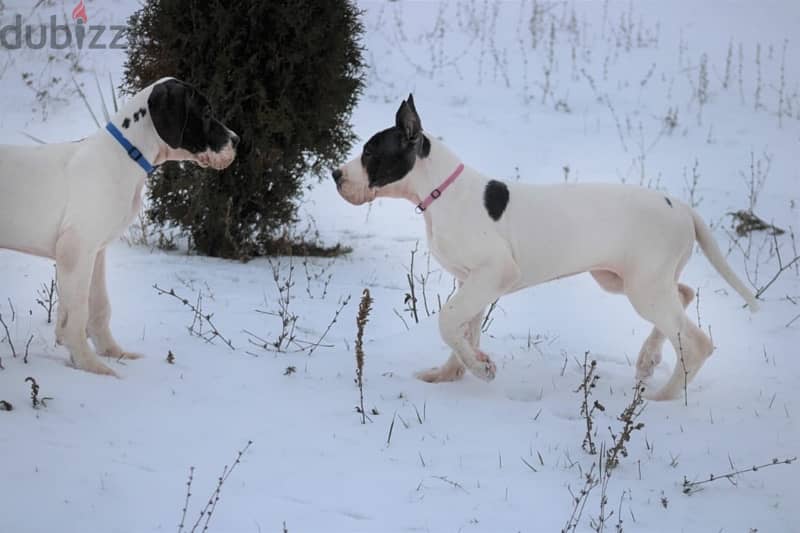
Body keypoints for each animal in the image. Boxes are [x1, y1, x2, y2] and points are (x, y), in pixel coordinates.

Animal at [0, 77, 238, 376]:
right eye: (206, 113)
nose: (237, 140)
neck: (125, 155)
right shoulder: (76, 249)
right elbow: (77, 313)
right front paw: (90, 365)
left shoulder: (96, 252)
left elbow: (100, 307)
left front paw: (113, 352)